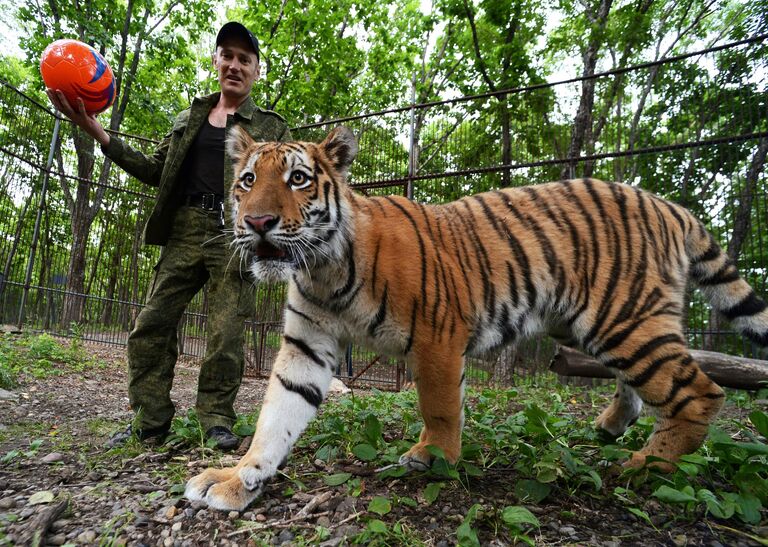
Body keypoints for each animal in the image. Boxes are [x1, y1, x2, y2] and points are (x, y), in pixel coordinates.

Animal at [186, 126, 768, 512]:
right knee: (644, 385)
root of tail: (670, 206)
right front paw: (237, 478)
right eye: (246, 180)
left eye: (299, 179)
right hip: (594, 325)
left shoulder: (438, 335)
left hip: (623, 319)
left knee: (701, 393)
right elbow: (276, 417)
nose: (257, 222)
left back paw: (647, 468)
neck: (322, 269)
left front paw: (433, 457)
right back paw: (611, 428)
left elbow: (440, 406)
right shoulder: (306, 346)